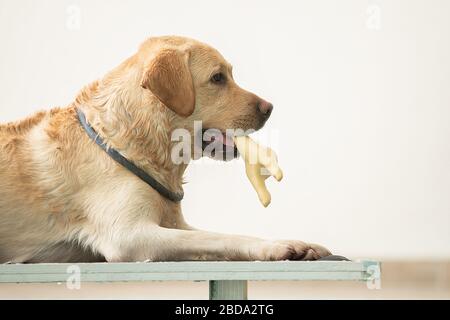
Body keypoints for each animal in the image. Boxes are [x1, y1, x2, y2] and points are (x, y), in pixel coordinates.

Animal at [0, 35, 330, 262]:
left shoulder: (176, 225)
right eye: (218, 78)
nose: (270, 108)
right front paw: (276, 247)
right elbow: (222, 238)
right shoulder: (129, 236)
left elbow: (214, 236)